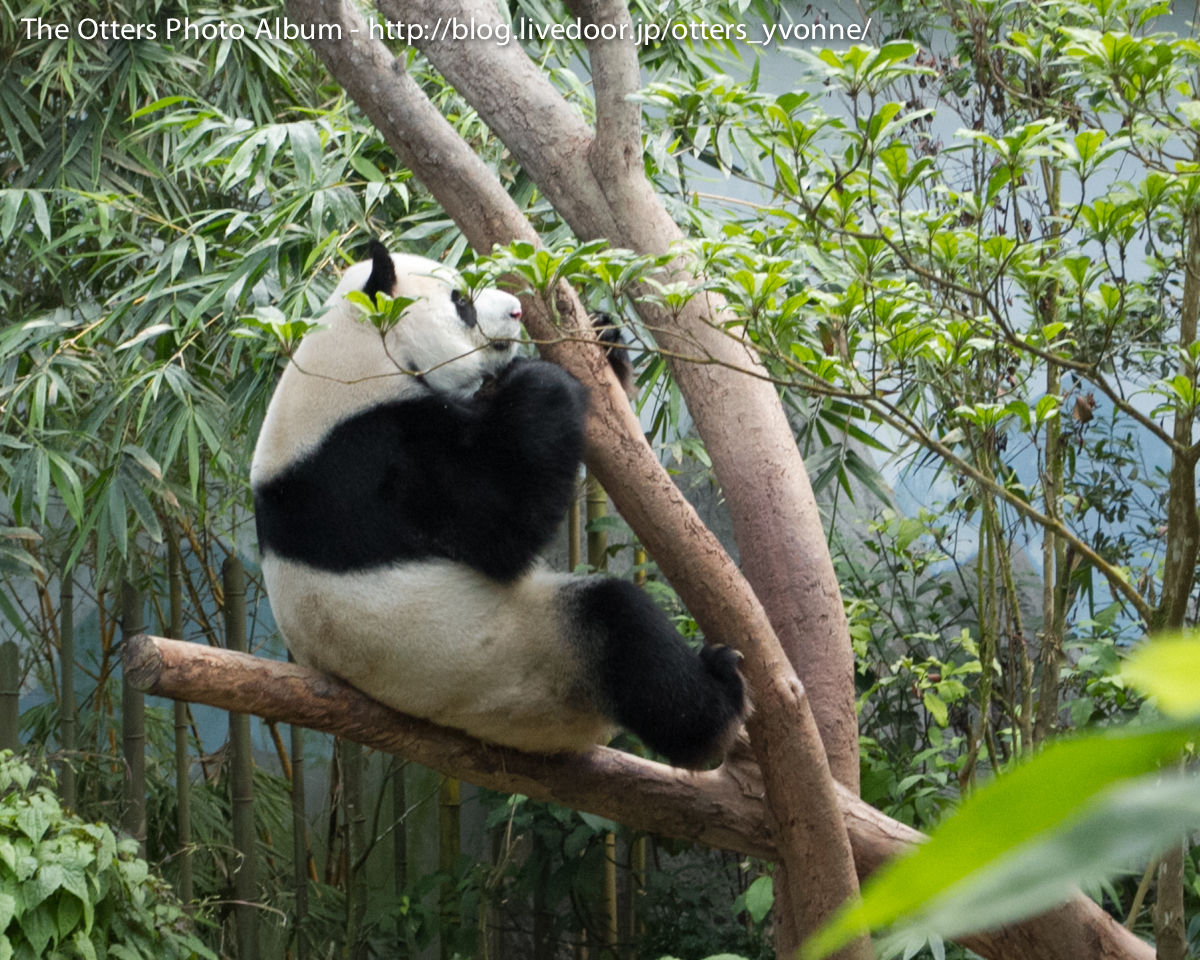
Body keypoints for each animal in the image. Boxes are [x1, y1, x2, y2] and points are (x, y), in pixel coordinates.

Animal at [250, 241, 746, 768]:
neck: (355, 355)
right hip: (510, 663)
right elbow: (501, 524)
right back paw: (718, 706)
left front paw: (605, 336)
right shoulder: (380, 459)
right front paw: (543, 375)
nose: (516, 311)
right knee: (618, 623)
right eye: (461, 301)